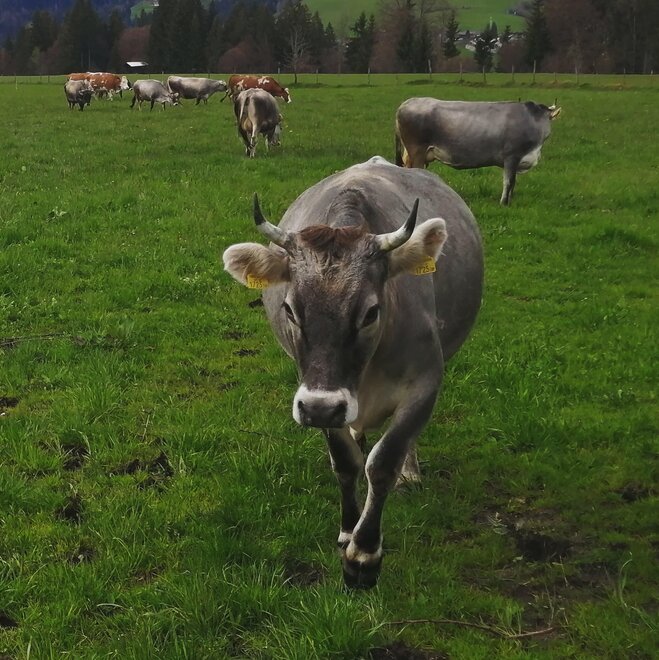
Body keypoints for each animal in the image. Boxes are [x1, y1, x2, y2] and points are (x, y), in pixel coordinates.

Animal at [223, 156, 483, 588]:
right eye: (290, 309)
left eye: (370, 312)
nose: (320, 409)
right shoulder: (316, 396)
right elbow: (346, 462)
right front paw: (348, 530)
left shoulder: (425, 383)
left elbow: (384, 461)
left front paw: (363, 554)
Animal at [395, 97, 562, 205]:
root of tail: (407, 102)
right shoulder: (511, 156)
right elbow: (509, 181)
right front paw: (503, 203)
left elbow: (513, 183)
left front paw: (510, 201)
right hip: (417, 150)